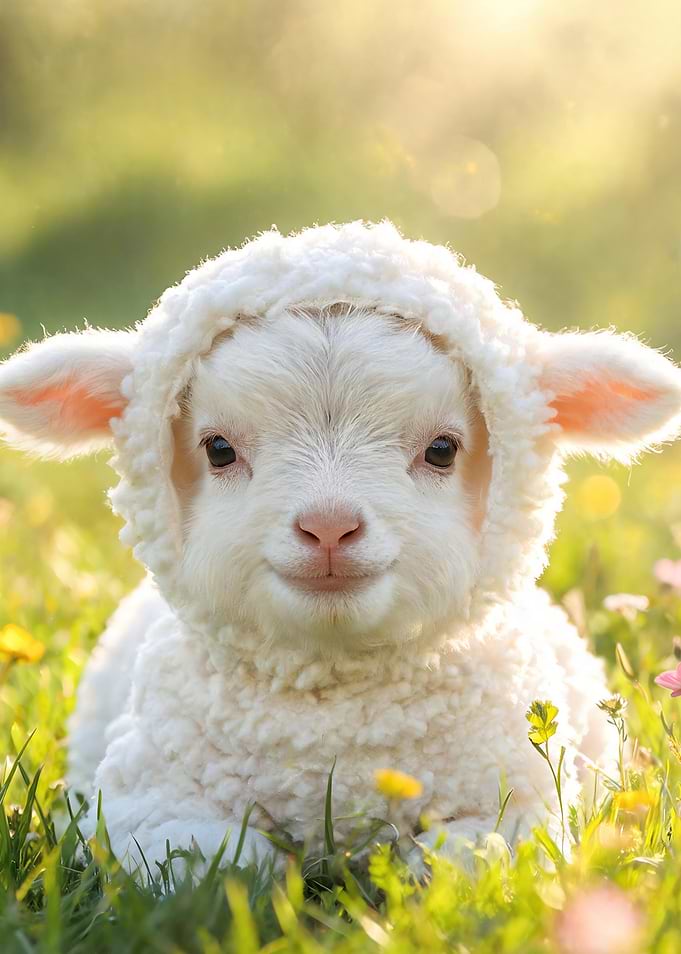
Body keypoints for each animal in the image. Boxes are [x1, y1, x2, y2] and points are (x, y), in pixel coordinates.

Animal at [1, 220, 680, 876]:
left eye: (442, 449)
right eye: (218, 449)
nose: (329, 527)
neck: (334, 742)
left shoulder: (519, 804)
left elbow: (470, 861)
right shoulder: (147, 805)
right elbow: (217, 868)